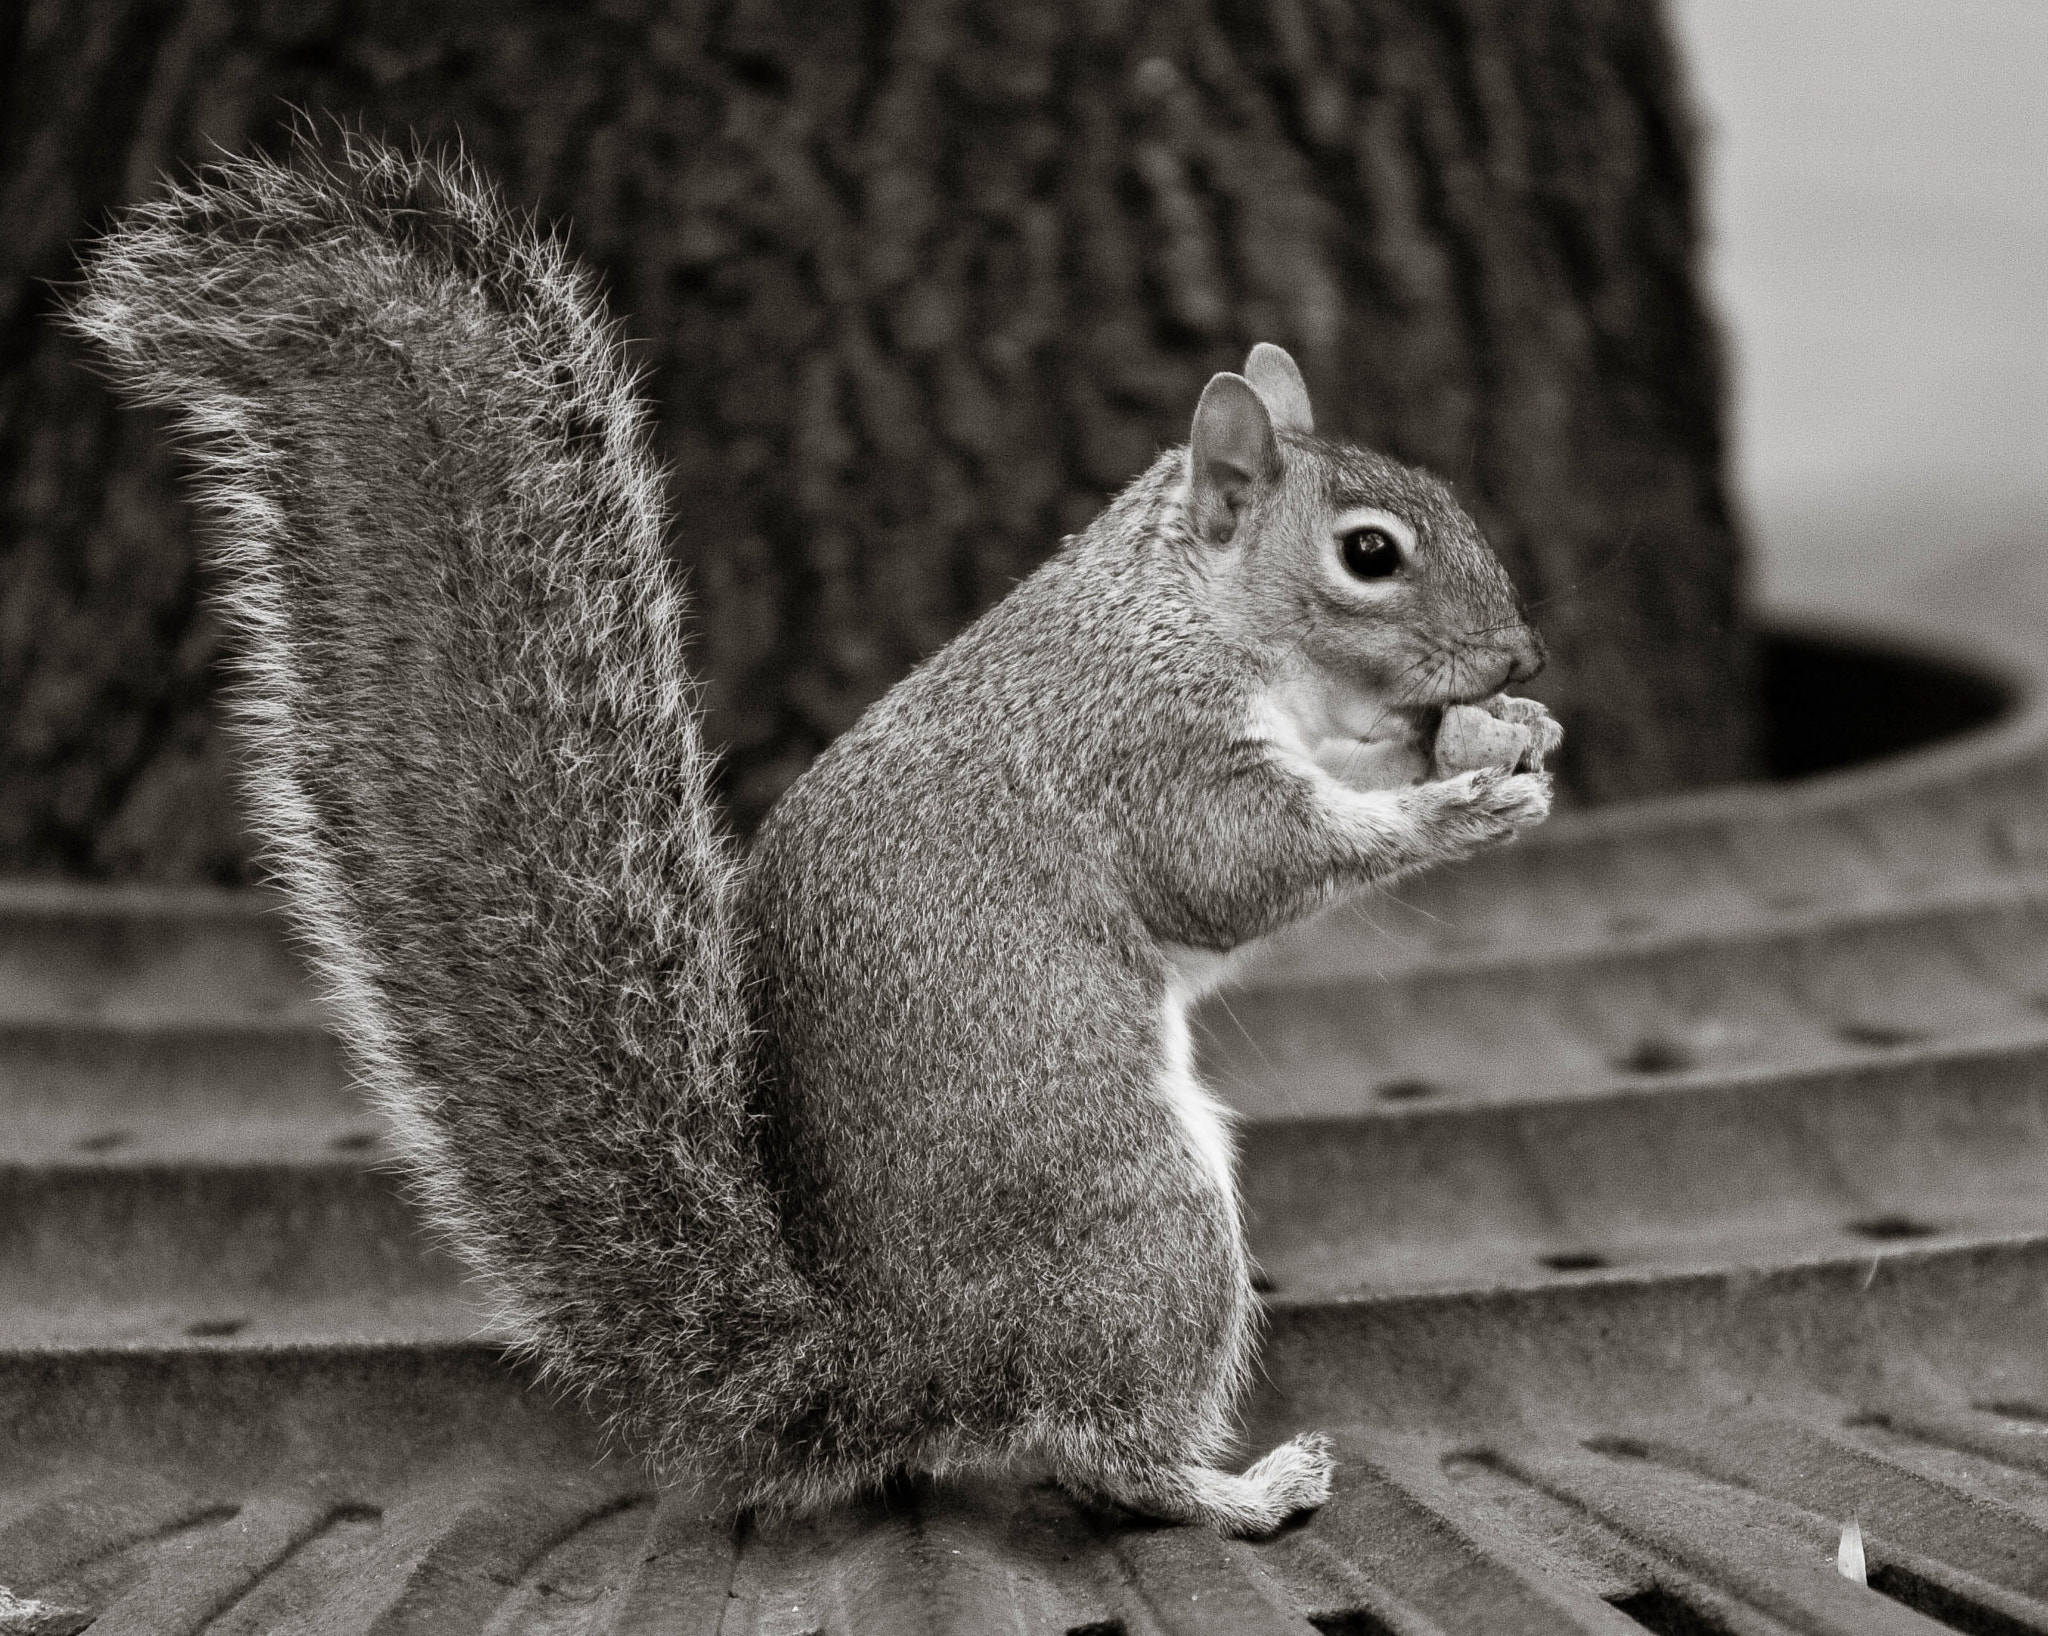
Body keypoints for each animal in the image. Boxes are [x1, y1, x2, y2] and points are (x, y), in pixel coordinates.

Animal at [71, 135, 1558, 1538]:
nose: (1524, 653)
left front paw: (1500, 734)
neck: (1180, 606)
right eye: (1368, 554)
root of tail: (903, 1359)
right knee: (1101, 1449)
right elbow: (1244, 871)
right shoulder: (1146, 751)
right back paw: (1235, 1491)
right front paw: (1455, 803)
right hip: (1139, 1215)